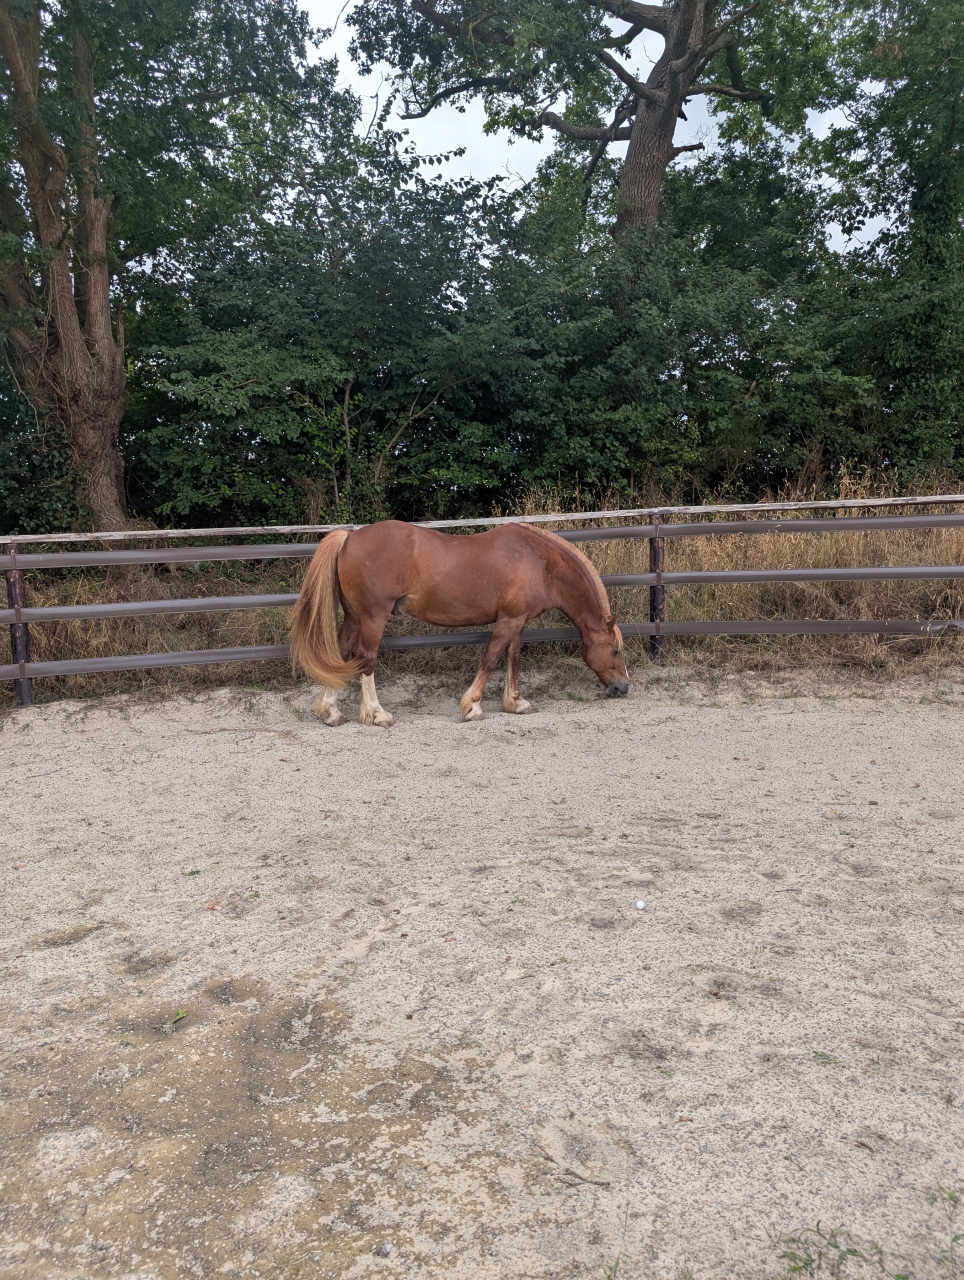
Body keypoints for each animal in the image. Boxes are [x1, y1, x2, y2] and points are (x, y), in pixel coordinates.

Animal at [289, 520, 629, 726]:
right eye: (615, 651)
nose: (623, 687)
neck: (540, 561)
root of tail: (350, 536)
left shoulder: (517, 620)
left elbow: (513, 658)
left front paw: (516, 702)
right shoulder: (508, 620)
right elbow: (491, 658)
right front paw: (472, 706)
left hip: (354, 617)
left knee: (342, 653)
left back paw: (331, 712)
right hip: (373, 617)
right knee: (366, 659)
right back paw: (377, 713)